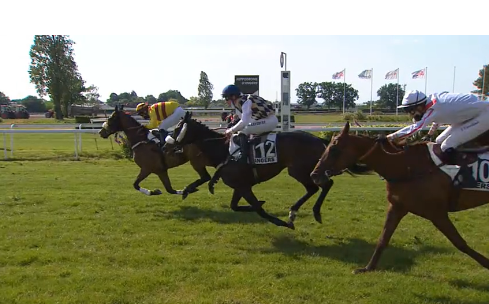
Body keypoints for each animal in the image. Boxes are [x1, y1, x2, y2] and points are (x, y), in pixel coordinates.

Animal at [164, 113, 370, 229]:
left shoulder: (244, 187)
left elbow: (258, 209)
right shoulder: (240, 186)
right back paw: (295, 212)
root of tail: (319, 140)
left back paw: (310, 213)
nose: (165, 147)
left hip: (298, 170)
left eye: (177, 129)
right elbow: (236, 206)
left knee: (324, 185)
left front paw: (280, 222)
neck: (222, 150)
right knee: (316, 187)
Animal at [308, 121, 488, 274]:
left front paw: (486, 263)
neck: (406, 167)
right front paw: (367, 268)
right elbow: (383, 239)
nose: (314, 175)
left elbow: (459, 243)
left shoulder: (437, 213)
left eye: (333, 149)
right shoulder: (397, 207)